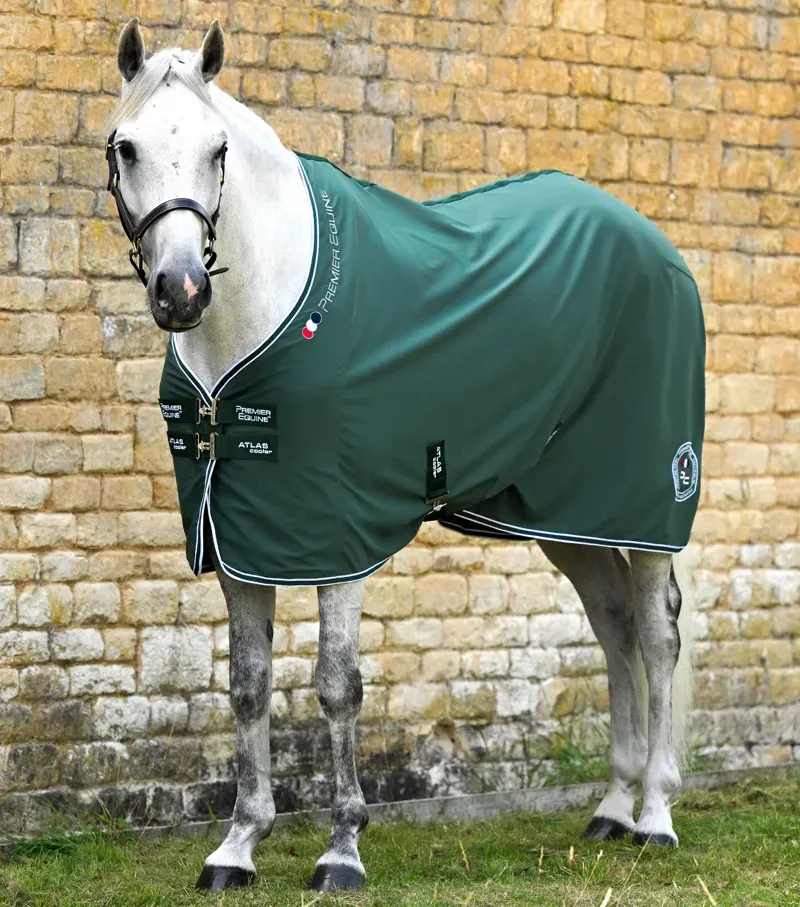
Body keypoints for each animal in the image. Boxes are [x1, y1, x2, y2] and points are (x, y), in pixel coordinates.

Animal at [107, 19, 704, 894]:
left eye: (219, 149)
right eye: (127, 147)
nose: (181, 290)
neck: (259, 322)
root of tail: (656, 244)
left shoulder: (336, 536)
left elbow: (336, 685)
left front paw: (341, 847)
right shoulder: (239, 536)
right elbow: (248, 686)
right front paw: (237, 845)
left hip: (649, 501)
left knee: (658, 636)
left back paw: (655, 813)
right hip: (570, 515)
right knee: (613, 623)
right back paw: (612, 807)